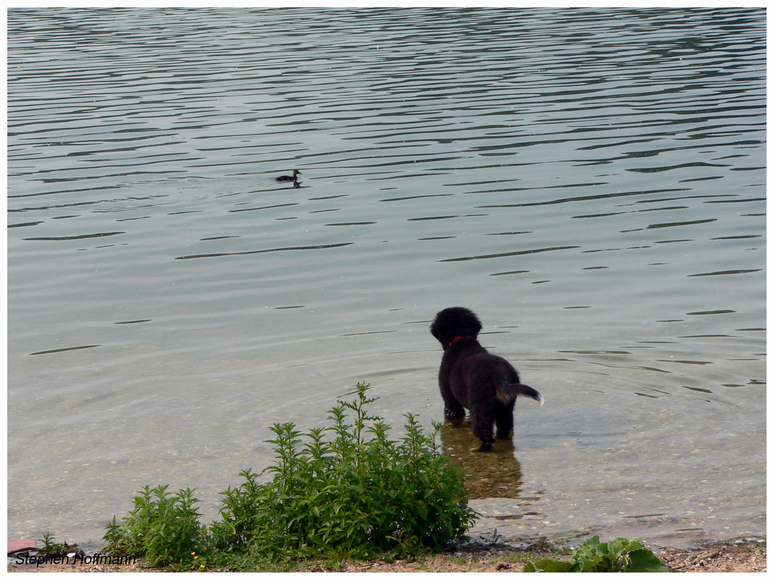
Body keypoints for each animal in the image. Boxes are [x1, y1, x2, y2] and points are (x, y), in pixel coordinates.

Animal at [430, 306, 544, 450]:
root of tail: (500, 374)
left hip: (481, 405)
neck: (461, 339)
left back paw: (481, 449)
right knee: (505, 428)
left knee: (484, 432)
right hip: (506, 407)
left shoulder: (450, 399)